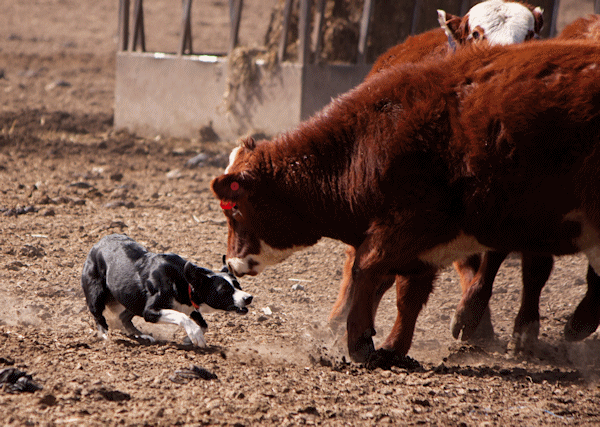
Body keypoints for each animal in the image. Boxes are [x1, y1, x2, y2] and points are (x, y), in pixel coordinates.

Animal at [213, 41, 600, 368]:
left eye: (235, 210)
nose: (231, 262)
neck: (365, 143)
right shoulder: (425, 244)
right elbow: (407, 295)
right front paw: (392, 348)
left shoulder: (410, 222)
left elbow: (367, 268)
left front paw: (361, 342)